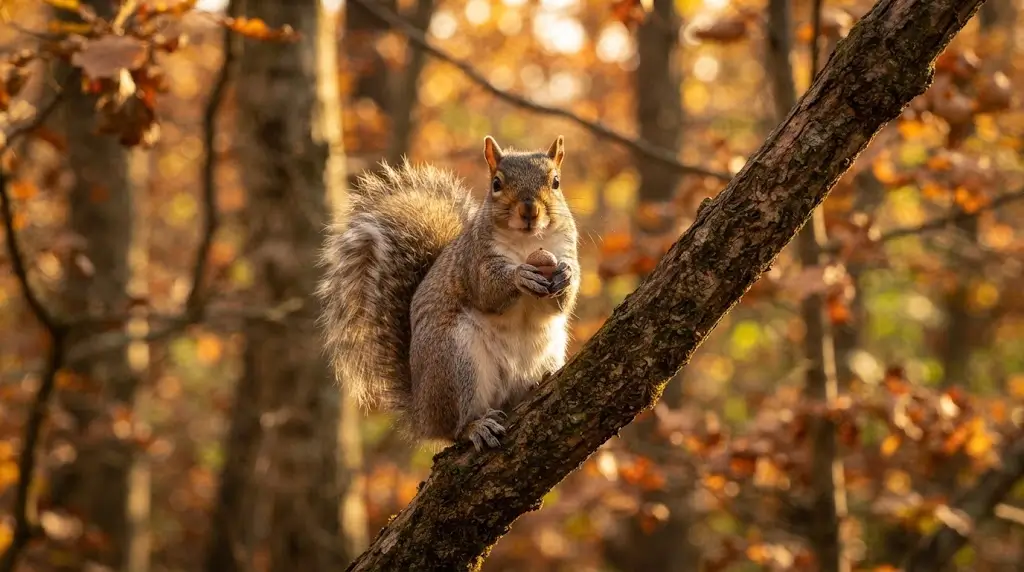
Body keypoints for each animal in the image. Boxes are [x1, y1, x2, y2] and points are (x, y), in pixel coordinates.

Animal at [317, 135, 580, 451]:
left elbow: (562, 303)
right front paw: (520, 276)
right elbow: (488, 290)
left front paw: (566, 276)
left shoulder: (565, 248)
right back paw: (474, 427)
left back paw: (537, 383)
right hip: (454, 362)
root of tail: (422, 414)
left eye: (556, 182)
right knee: (453, 428)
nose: (529, 210)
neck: (527, 242)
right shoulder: (474, 260)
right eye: (496, 183)